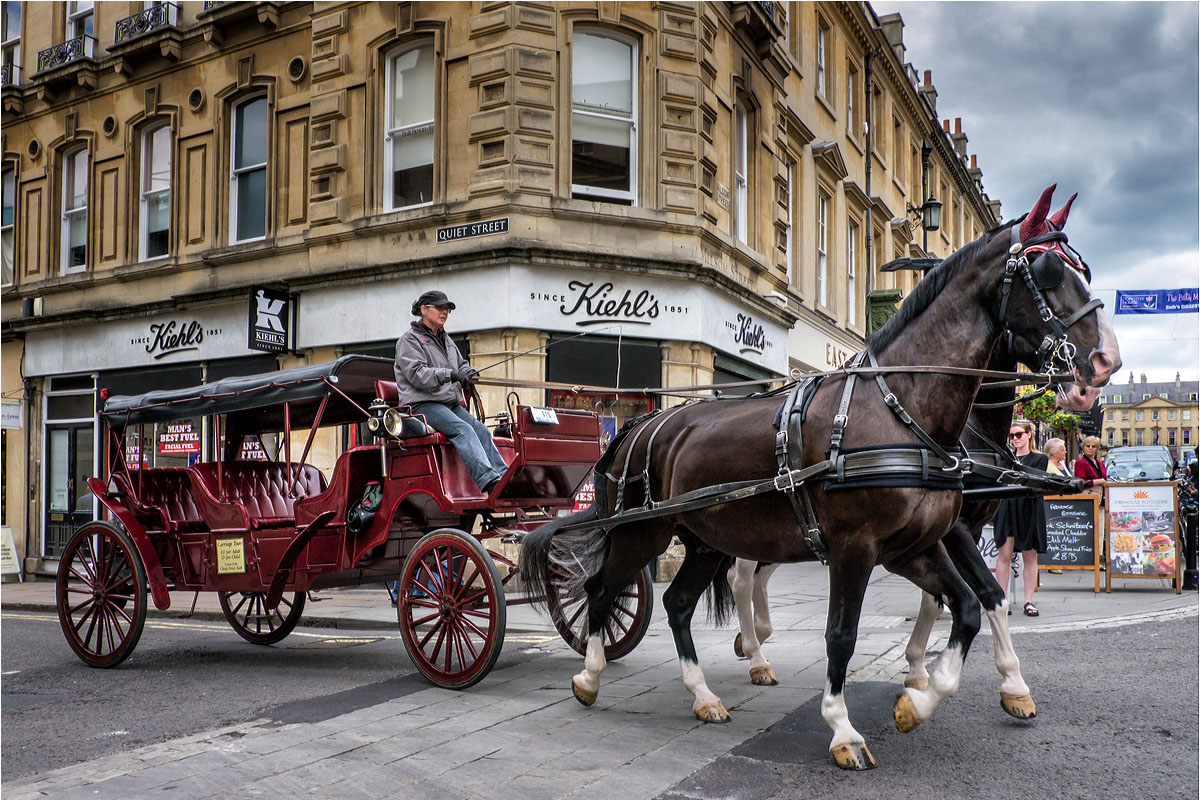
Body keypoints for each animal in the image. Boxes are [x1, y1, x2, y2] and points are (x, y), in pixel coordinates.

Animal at [520, 184, 1118, 767]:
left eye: (1083, 268)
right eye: (1048, 271)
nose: (1106, 360)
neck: (902, 409)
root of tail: (639, 423)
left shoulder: (915, 546)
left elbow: (972, 605)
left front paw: (923, 697)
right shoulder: (861, 547)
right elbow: (843, 634)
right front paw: (844, 727)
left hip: (708, 538)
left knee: (679, 603)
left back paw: (705, 693)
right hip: (642, 530)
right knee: (602, 589)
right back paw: (592, 675)